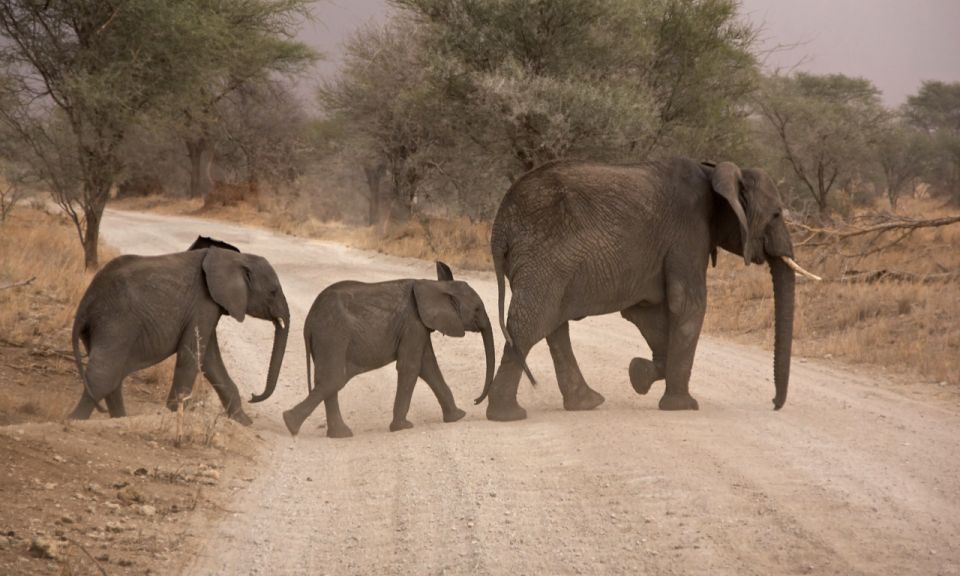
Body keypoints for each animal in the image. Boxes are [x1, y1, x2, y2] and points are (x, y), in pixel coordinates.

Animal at [68, 241, 288, 426]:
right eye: (273, 292)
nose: (253, 396)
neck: (236, 258)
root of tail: (85, 302)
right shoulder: (203, 303)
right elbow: (192, 354)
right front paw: (175, 412)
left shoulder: (208, 306)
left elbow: (208, 358)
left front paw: (244, 422)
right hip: (115, 321)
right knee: (102, 377)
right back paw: (74, 421)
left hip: (103, 326)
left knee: (113, 378)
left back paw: (121, 419)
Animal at [282, 260, 496, 436]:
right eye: (477, 309)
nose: (475, 401)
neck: (434, 285)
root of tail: (308, 321)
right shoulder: (413, 323)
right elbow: (411, 367)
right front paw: (402, 427)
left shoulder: (419, 326)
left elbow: (428, 367)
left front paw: (458, 417)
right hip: (332, 335)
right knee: (333, 379)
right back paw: (291, 424)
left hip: (326, 338)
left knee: (330, 380)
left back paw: (337, 433)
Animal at [476, 155, 820, 420]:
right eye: (776, 214)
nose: (774, 404)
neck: (714, 171)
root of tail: (500, 225)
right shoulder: (687, 236)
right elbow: (688, 305)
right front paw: (682, 407)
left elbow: (649, 314)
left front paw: (639, 375)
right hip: (543, 259)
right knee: (530, 325)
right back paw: (508, 416)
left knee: (552, 326)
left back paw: (585, 403)